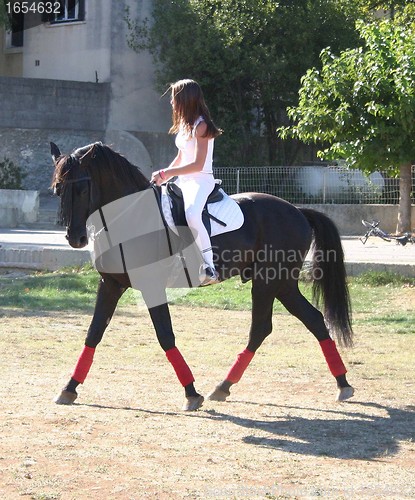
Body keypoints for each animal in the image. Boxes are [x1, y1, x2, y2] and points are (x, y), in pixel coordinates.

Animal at [50, 142, 356, 410]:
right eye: (58, 189)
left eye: (82, 188)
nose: (75, 238)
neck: (130, 217)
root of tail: (297, 211)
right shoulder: (111, 284)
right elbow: (93, 333)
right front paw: (69, 388)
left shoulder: (151, 286)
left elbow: (165, 336)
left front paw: (191, 393)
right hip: (283, 286)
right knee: (312, 319)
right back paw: (340, 383)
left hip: (269, 282)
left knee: (262, 328)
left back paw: (225, 385)